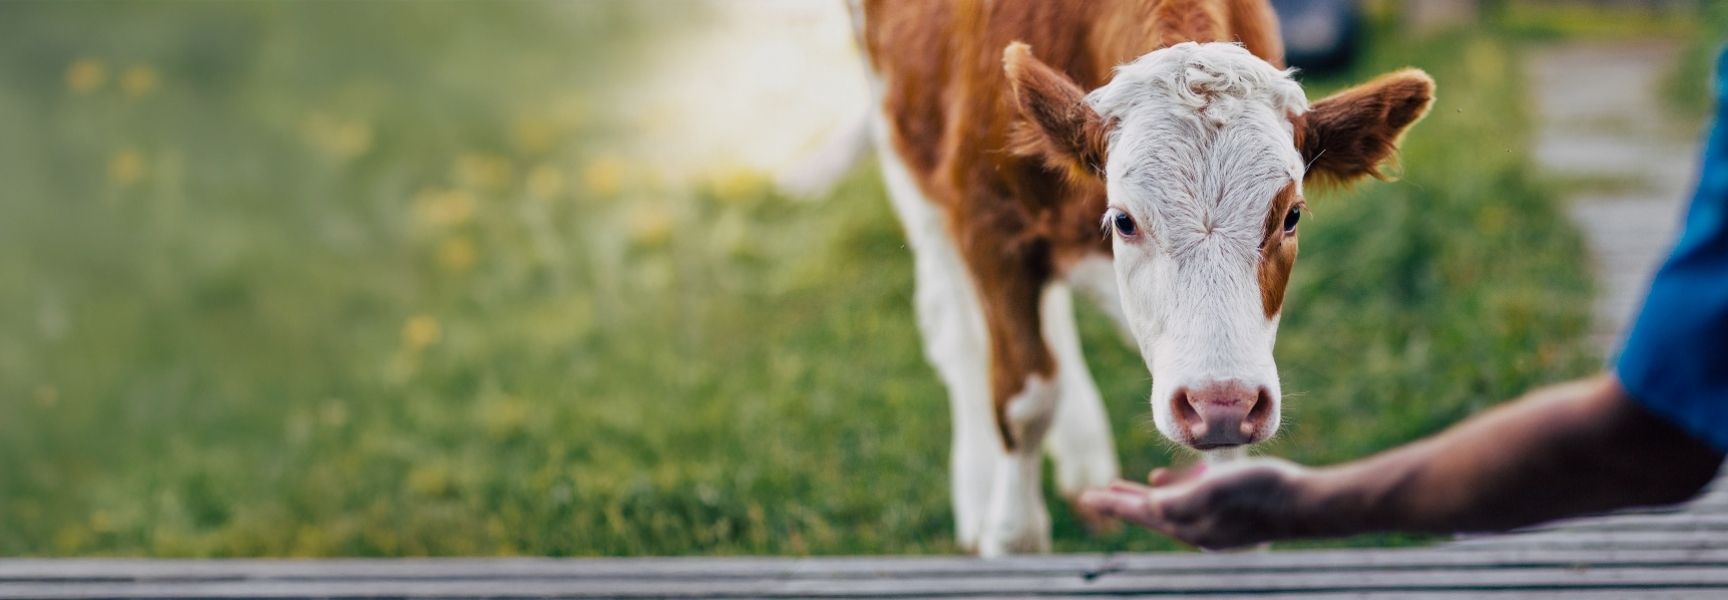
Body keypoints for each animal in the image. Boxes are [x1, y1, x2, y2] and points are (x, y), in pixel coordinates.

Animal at [850, 0, 1430, 556]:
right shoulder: (986, 220)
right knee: (959, 331)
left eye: (1291, 216)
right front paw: (1013, 535)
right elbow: (1026, 398)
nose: (1220, 406)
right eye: (1124, 220)